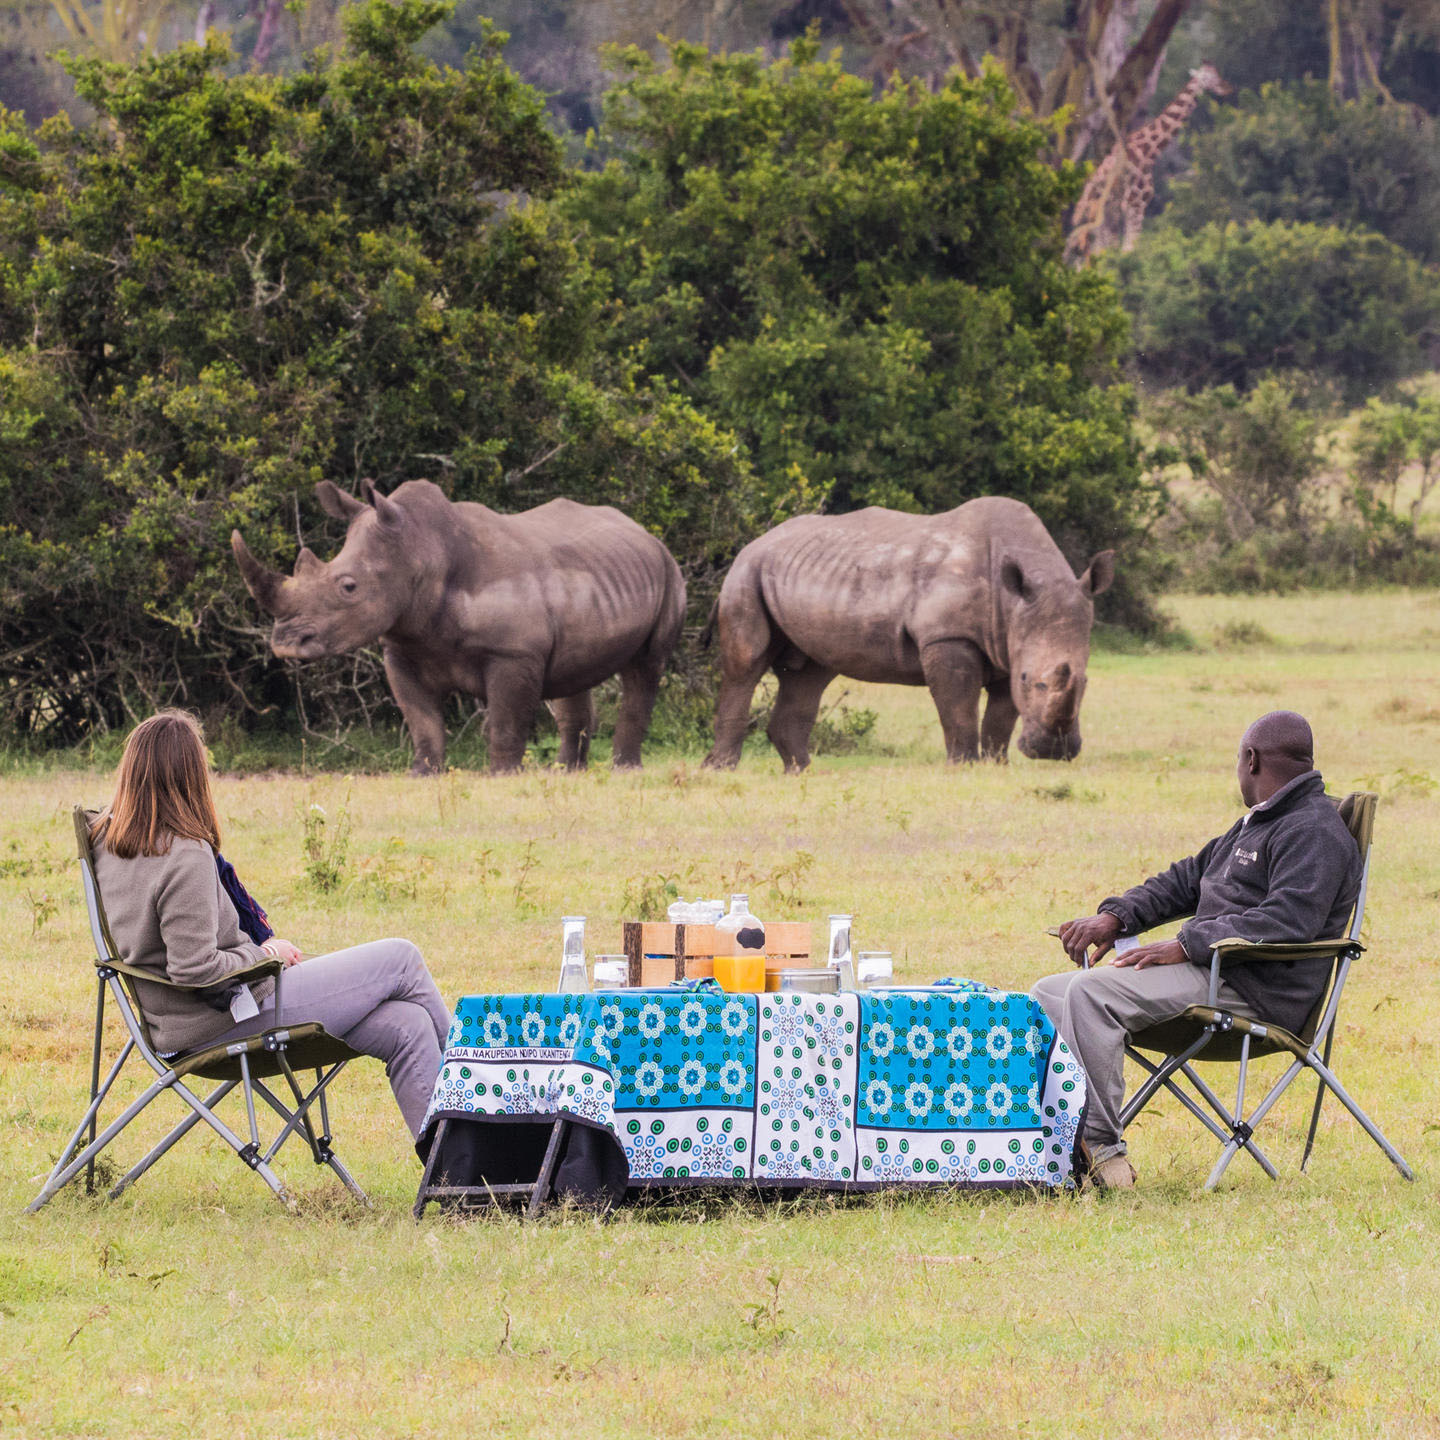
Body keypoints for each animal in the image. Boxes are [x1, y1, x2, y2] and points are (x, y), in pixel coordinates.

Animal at [1065, 62, 1232, 267]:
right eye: (1211, 77)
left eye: (1217, 74)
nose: (1227, 88)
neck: (1149, 150)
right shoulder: (1137, 202)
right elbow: (1130, 249)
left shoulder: (1131, 206)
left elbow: (1125, 249)